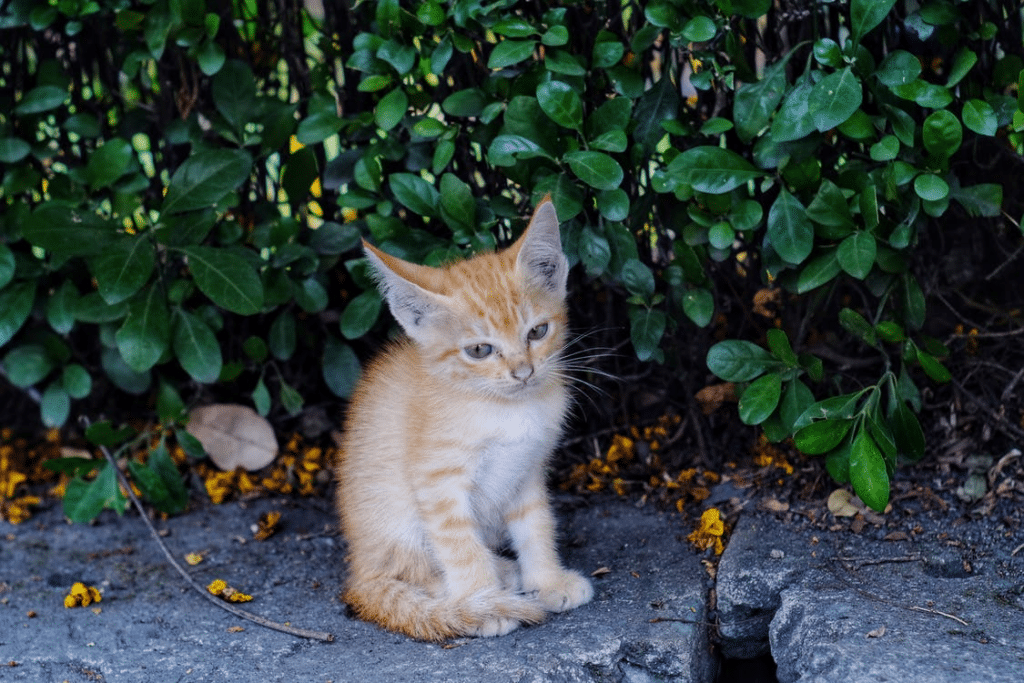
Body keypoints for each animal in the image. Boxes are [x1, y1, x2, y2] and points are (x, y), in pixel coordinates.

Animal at [335, 196, 593, 643]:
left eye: (537, 332)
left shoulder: (527, 468)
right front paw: (481, 602)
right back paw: (479, 592)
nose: (523, 372)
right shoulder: (437, 481)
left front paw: (548, 581)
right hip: (394, 524)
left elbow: (537, 525)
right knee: (412, 572)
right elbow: (459, 545)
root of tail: (360, 571)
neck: (505, 409)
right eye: (479, 350)